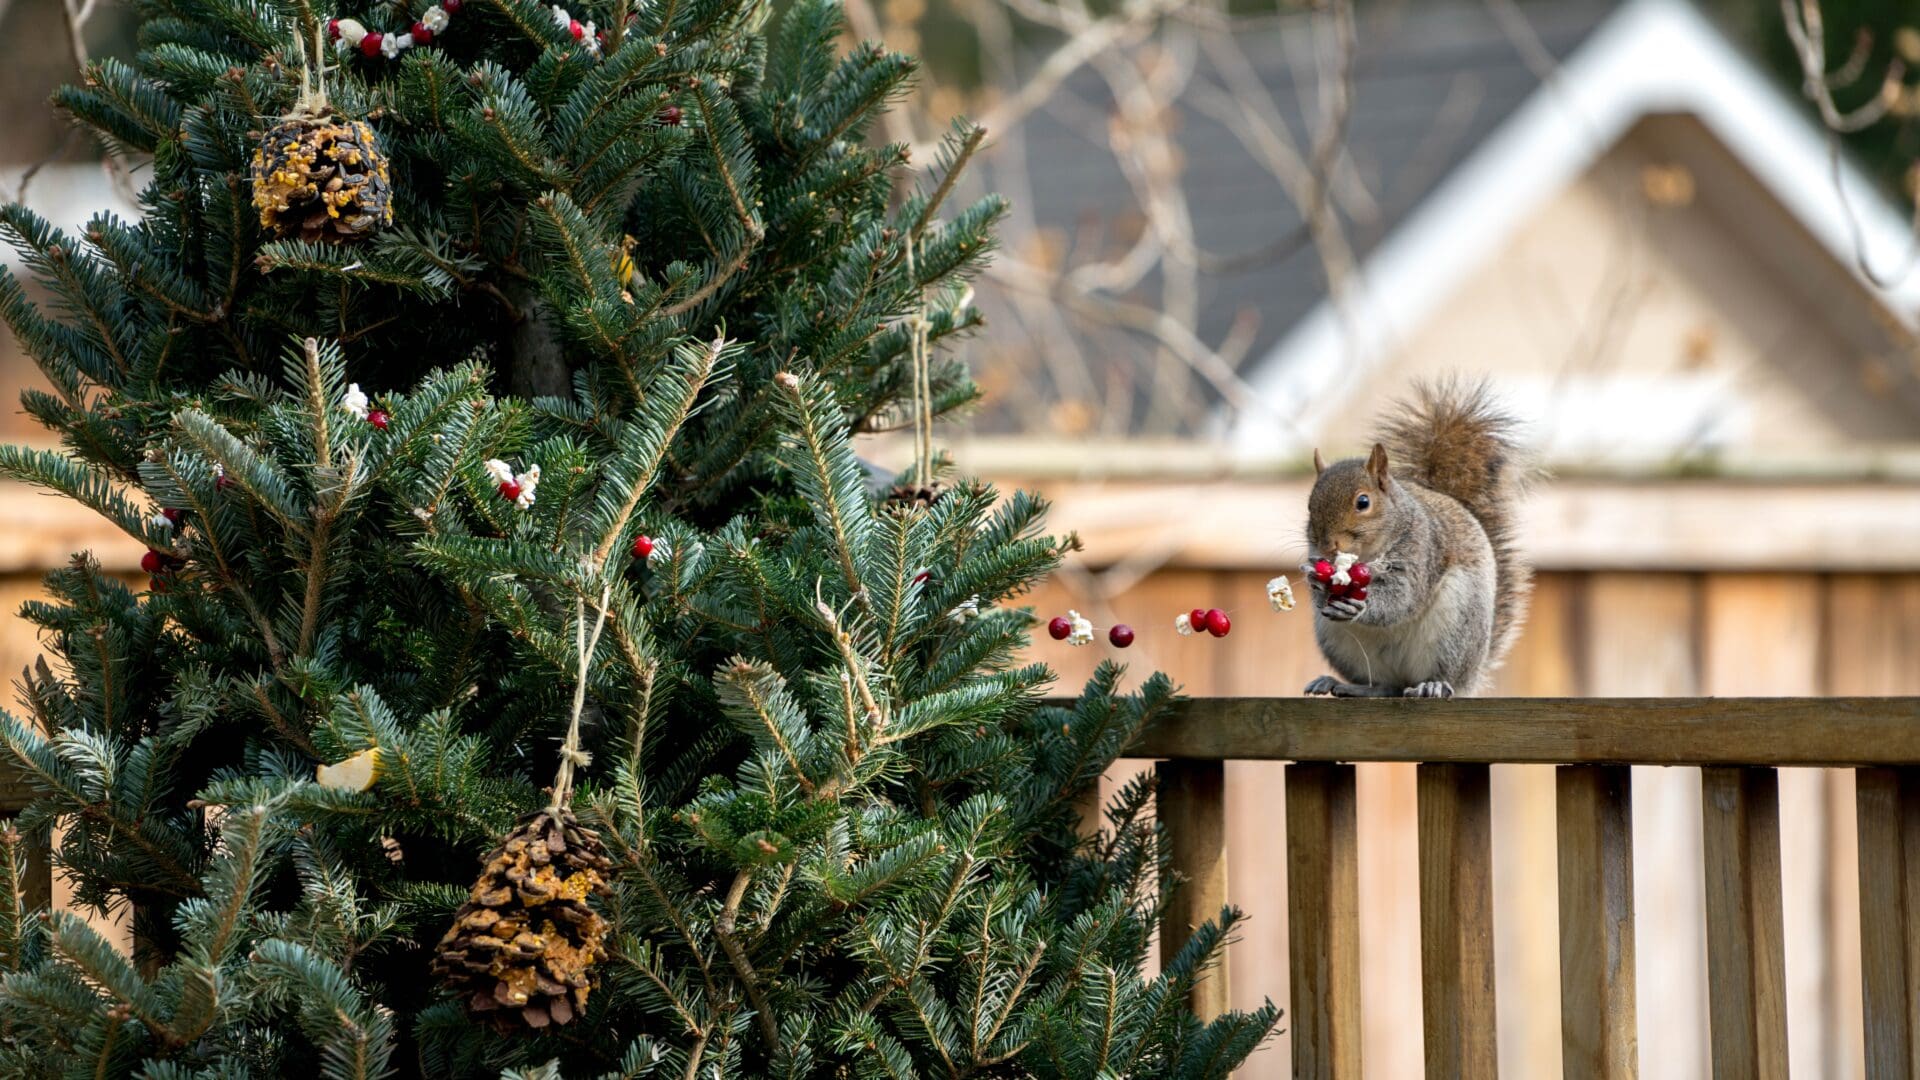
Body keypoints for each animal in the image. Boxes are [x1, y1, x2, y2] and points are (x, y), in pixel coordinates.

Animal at [1305, 378, 1528, 699]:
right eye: (1309, 506)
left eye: (1363, 502)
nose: (1327, 547)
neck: (1366, 555)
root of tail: (1473, 676)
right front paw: (1314, 579)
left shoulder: (1422, 550)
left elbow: (1403, 598)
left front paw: (1361, 606)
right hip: (1337, 640)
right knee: (1384, 687)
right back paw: (1343, 685)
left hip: (1456, 629)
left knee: (1442, 678)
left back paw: (1433, 685)